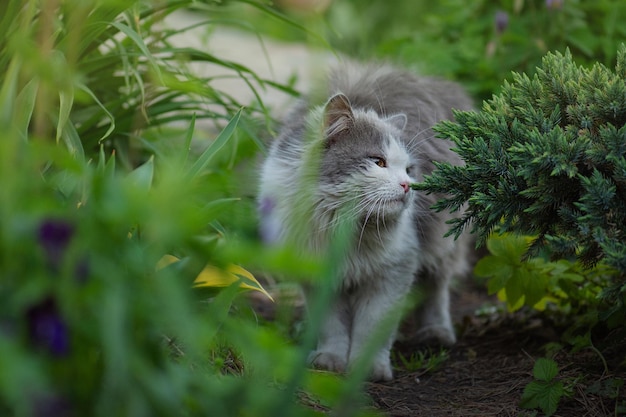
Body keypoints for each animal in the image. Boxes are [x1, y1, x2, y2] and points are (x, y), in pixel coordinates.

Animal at [258, 62, 472, 380]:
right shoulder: (318, 276)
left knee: (436, 288)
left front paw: (367, 368)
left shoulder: (393, 271)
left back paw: (435, 332)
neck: (346, 228)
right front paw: (330, 361)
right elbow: (332, 328)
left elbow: (372, 328)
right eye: (378, 162)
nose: (408, 186)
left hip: (442, 244)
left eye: (409, 170)